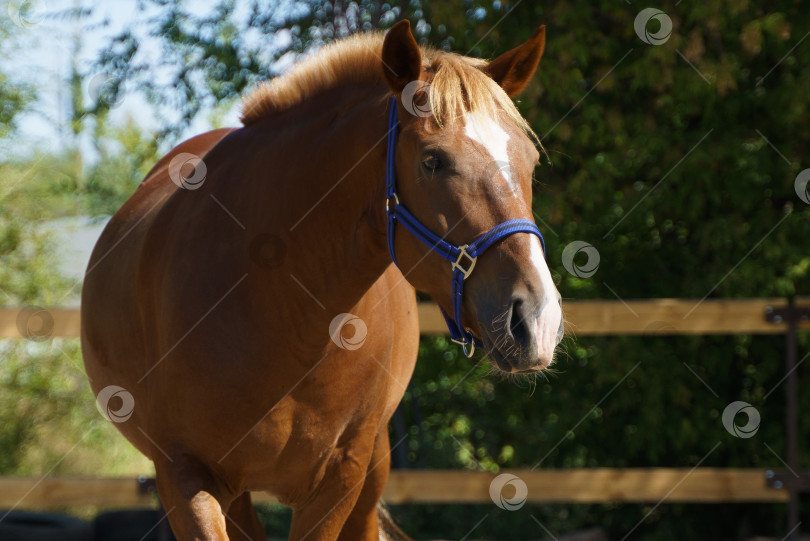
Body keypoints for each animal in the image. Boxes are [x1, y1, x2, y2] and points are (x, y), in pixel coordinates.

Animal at [80, 19, 560, 536]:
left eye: (531, 161)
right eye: (432, 160)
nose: (537, 319)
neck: (281, 310)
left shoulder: (342, 476)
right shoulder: (184, 474)